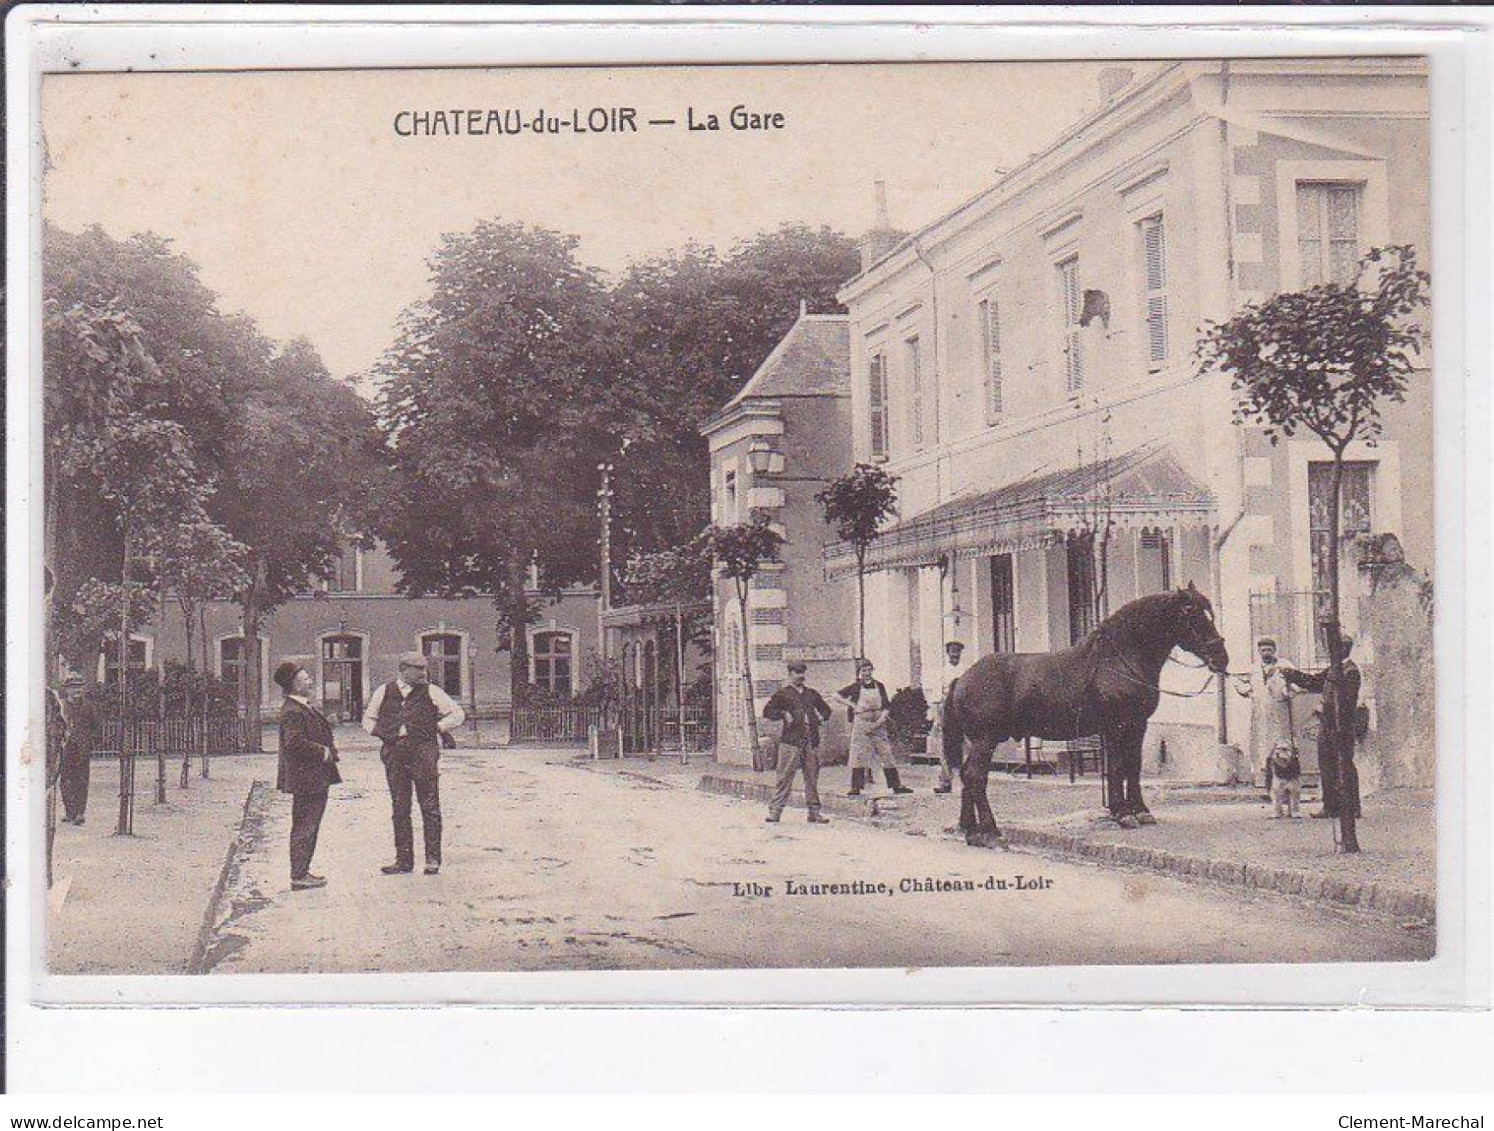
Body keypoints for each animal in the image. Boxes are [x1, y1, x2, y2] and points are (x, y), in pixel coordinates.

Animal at [944, 585, 1225, 842]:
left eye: (1209, 612)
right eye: (1190, 613)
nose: (1221, 657)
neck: (1119, 659)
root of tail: (962, 679)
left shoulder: (1137, 725)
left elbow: (1133, 766)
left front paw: (1141, 811)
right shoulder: (1115, 727)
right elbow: (1117, 767)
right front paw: (1122, 813)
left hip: (977, 741)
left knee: (967, 775)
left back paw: (969, 827)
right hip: (985, 739)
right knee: (975, 775)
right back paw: (990, 830)